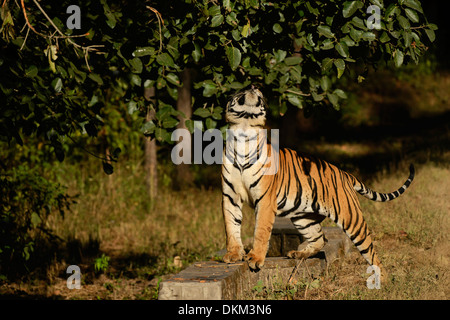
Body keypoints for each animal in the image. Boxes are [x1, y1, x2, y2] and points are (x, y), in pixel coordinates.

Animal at [221, 85, 414, 280]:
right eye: (242, 88)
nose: (254, 86)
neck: (243, 133)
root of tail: (345, 174)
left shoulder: (265, 199)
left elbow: (260, 231)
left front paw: (255, 258)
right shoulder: (230, 196)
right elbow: (231, 226)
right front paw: (233, 254)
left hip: (352, 220)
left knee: (372, 253)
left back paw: (383, 279)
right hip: (303, 217)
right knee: (320, 239)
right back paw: (299, 254)